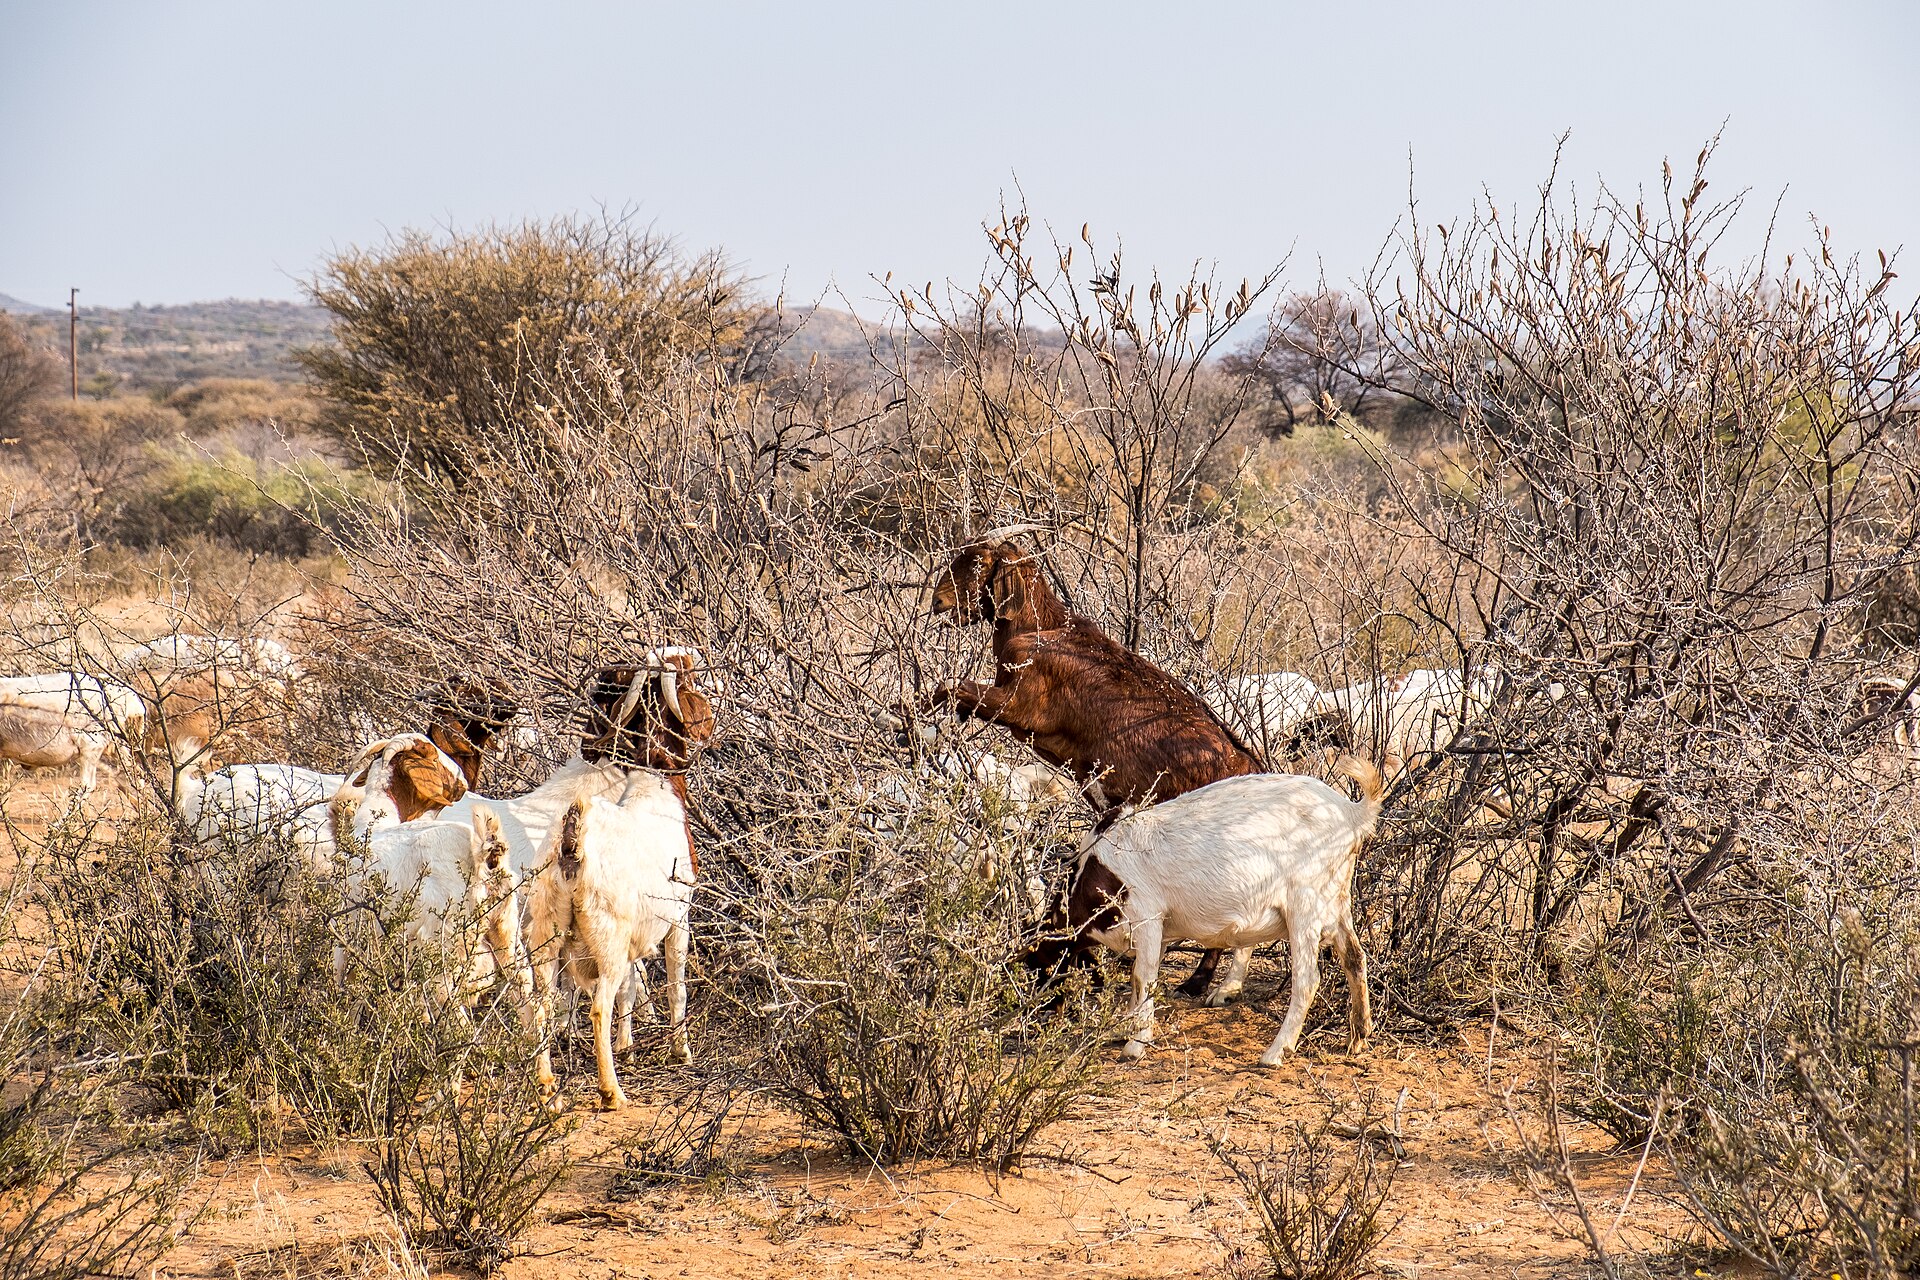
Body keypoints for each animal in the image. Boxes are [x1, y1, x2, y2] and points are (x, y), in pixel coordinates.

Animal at [918, 532, 1267, 998]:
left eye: (976, 562)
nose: (938, 601)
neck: (1040, 627)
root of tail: (1247, 763)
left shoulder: (1018, 705)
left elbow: (949, 686)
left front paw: (902, 721)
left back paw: (1205, 983)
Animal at [1028, 756, 1383, 1066]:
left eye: (1041, 970)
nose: (1037, 1022)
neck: (1096, 870)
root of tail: (1350, 813)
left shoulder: (1147, 914)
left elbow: (1143, 976)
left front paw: (1134, 1045)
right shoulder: (1158, 931)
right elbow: (1139, 980)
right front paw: (1124, 1027)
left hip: (1304, 903)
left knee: (1308, 978)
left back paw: (1276, 1052)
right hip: (1337, 898)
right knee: (1354, 957)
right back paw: (1358, 1036)